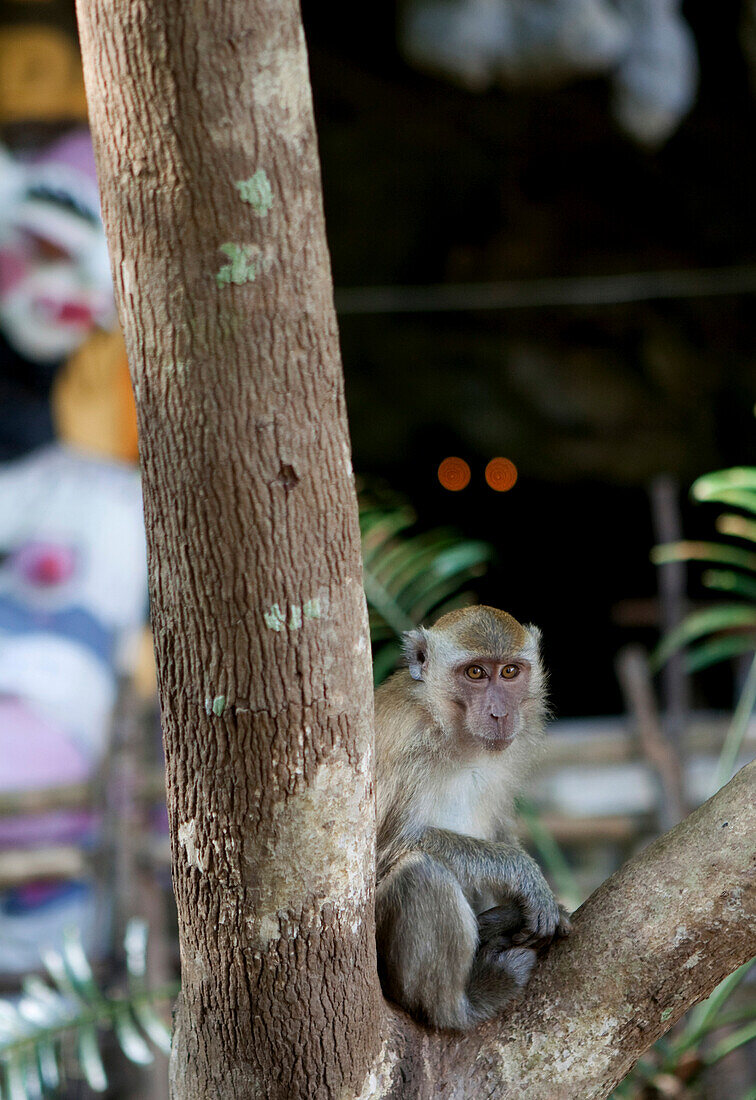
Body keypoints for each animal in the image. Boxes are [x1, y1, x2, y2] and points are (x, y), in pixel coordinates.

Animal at [371, 607, 567, 1034]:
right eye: (475, 673)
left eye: (509, 672)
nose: (500, 713)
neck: (450, 729)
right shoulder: (402, 746)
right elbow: (386, 849)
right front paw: (526, 876)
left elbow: (499, 826)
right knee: (421, 875)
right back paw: (461, 1006)